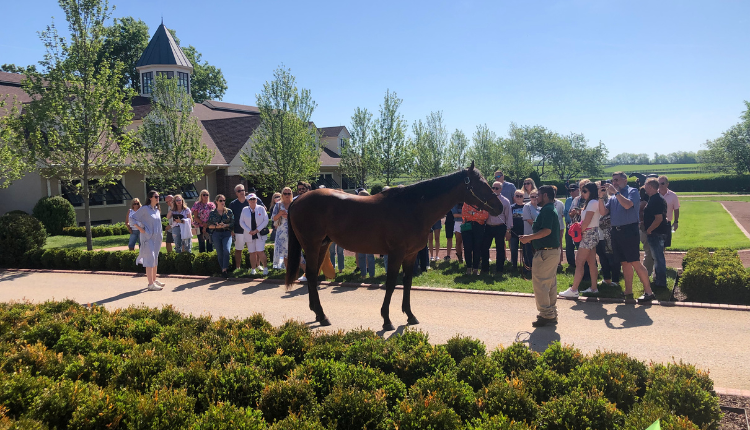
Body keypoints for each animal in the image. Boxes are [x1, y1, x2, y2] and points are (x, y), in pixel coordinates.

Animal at [286, 162, 506, 332]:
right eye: (480, 184)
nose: (500, 206)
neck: (412, 208)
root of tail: (297, 200)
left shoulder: (410, 255)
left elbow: (407, 282)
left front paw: (410, 315)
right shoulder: (396, 253)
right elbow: (391, 283)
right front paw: (386, 320)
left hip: (323, 245)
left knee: (313, 275)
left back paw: (318, 313)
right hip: (312, 245)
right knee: (311, 275)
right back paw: (322, 316)